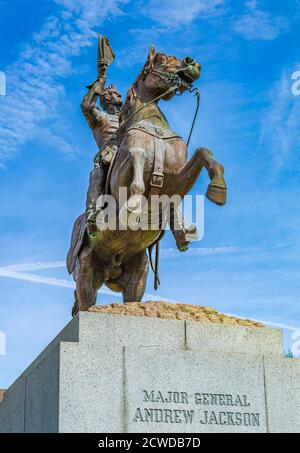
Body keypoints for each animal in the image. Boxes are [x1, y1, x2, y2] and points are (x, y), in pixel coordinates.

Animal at [68, 46, 226, 314]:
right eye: (162, 58)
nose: (192, 63)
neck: (153, 128)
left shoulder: (176, 181)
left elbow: (204, 153)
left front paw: (218, 189)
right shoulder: (128, 161)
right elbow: (136, 159)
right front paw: (133, 207)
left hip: (137, 276)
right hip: (86, 274)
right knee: (85, 303)